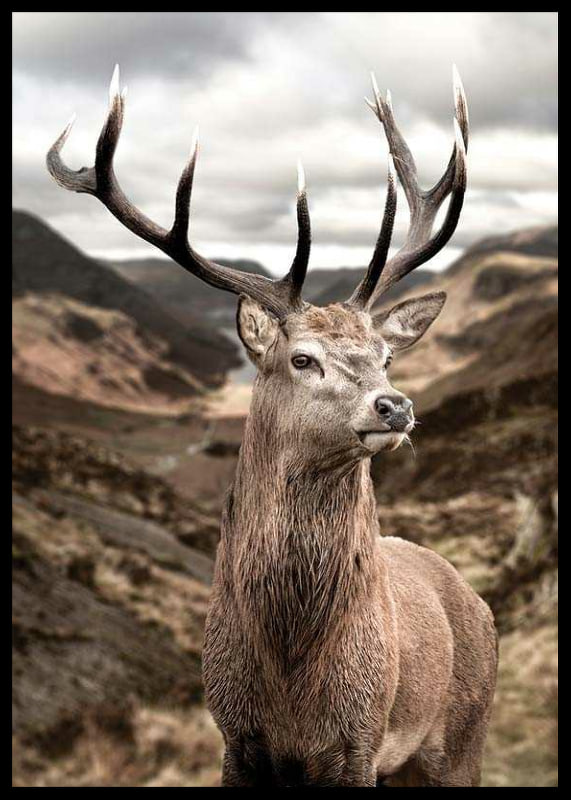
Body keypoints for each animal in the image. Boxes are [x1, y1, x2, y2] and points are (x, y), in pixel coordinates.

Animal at [47, 65, 498, 787]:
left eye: (386, 356)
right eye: (302, 358)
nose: (394, 405)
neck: (289, 680)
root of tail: (477, 602)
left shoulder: (360, 738)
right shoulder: (234, 734)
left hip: (461, 737)